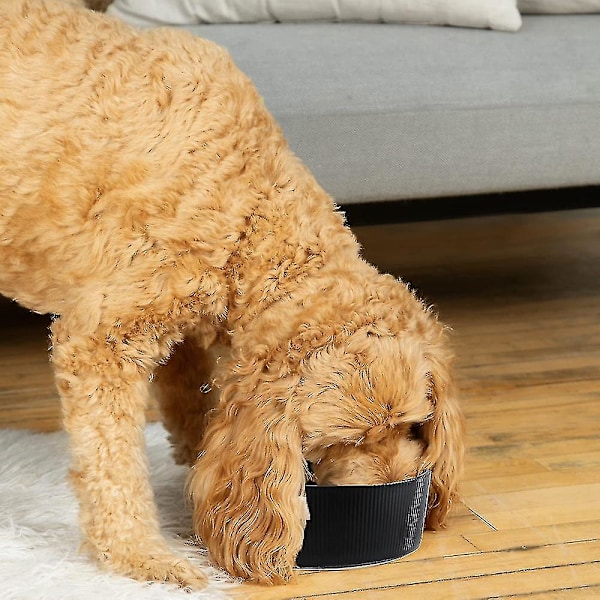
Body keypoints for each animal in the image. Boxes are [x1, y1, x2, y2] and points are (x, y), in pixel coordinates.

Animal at [0, 0, 464, 592]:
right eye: (337, 443)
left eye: (412, 427)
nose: (402, 489)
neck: (250, 203)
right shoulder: (100, 343)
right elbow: (114, 466)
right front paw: (141, 558)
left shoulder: (180, 329)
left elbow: (191, 407)